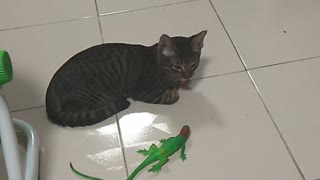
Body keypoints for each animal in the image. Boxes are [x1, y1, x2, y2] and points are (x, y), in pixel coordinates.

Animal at [46, 30, 208, 126]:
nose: (188, 75)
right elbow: (169, 95)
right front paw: (174, 91)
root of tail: (52, 86)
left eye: (193, 64)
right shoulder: (143, 90)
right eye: (176, 67)